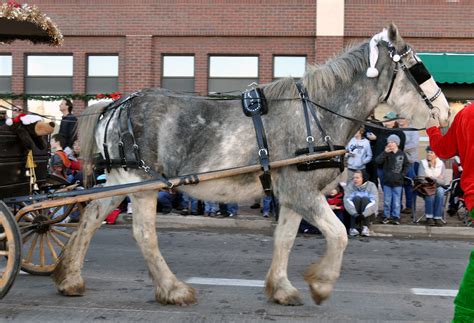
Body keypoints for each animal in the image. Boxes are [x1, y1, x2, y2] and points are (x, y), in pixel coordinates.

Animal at [53, 24, 450, 306]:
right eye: (418, 68)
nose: (446, 113)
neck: (316, 114)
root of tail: (115, 104)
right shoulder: (302, 190)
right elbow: (338, 234)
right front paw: (321, 284)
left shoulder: (292, 194)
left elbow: (285, 239)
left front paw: (282, 288)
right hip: (144, 182)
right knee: (144, 234)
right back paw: (173, 289)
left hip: (121, 177)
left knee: (91, 216)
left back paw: (69, 277)